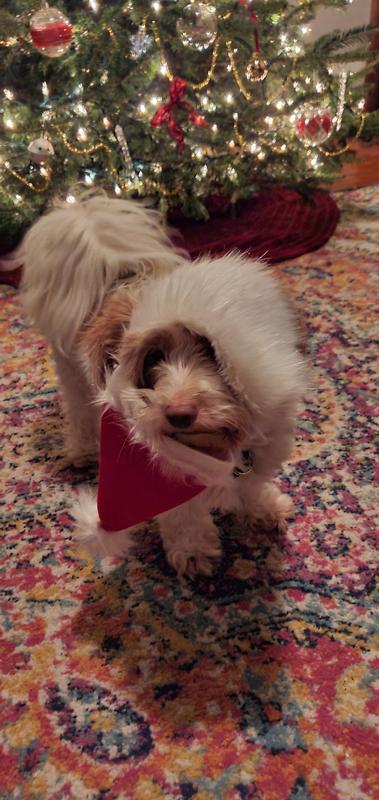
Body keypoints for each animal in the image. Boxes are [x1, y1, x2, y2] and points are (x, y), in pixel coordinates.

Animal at [20, 191, 308, 576]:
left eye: (210, 350)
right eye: (153, 358)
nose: (179, 413)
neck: (216, 448)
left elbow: (250, 487)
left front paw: (263, 508)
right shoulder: (159, 474)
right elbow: (182, 517)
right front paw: (194, 552)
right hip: (74, 376)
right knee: (79, 413)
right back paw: (83, 452)